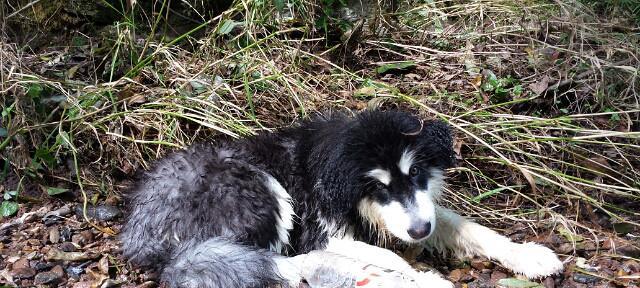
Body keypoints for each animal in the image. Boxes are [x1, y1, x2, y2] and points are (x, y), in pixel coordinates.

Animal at [120, 110, 560, 288]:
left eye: (416, 173)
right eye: (378, 187)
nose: (419, 232)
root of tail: (138, 232)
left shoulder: (417, 213)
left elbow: (470, 228)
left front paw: (529, 255)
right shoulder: (325, 231)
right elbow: (392, 256)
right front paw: (421, 278)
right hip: (260, 187)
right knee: (286, 262)